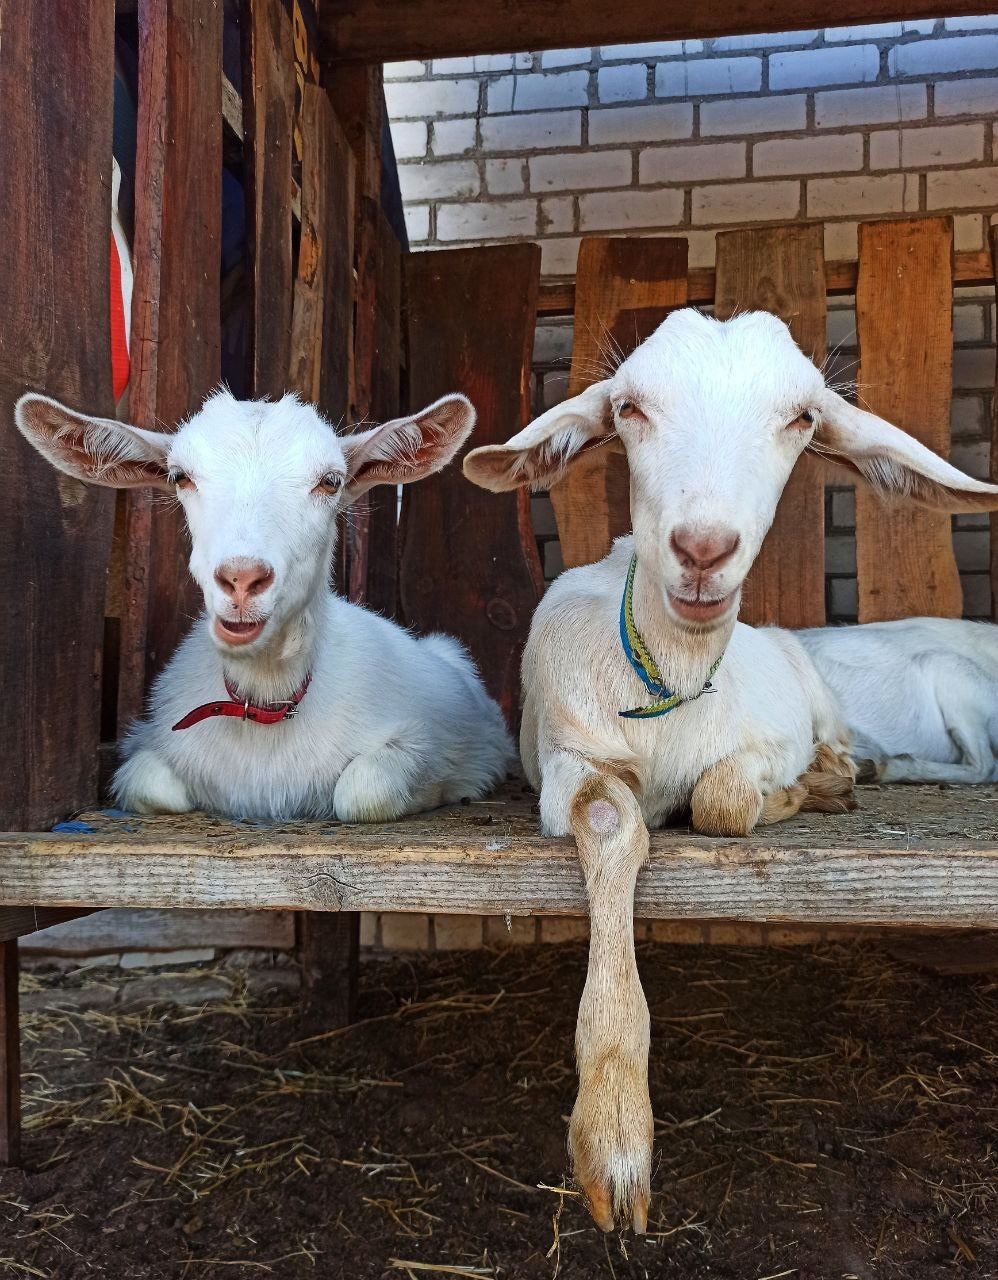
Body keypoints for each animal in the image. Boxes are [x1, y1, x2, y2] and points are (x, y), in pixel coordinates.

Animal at [16, 389, 513, 822]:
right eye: (181, 477)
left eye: (330, 482)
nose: (241, 579)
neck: (266, 704)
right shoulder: (150, 745)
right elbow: (149, 785)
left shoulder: (430, 743)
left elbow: (364, 792)